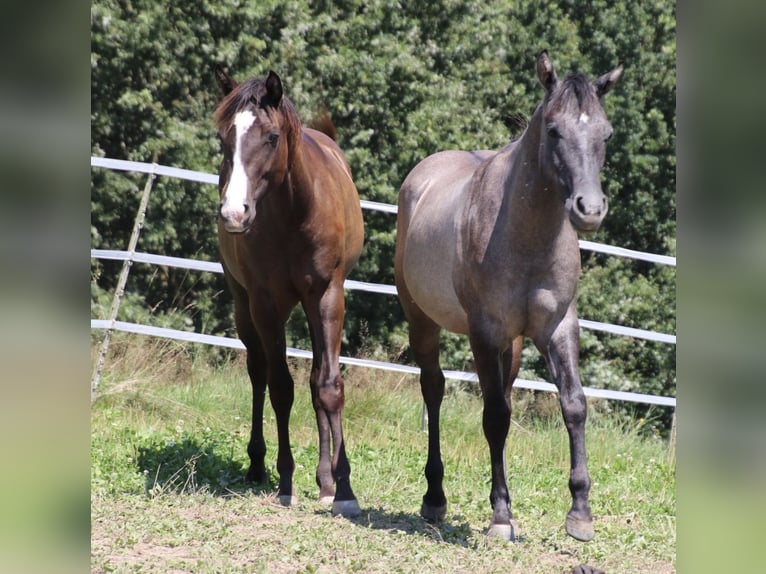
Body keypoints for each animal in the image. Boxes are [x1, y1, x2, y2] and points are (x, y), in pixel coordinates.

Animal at [212, 65, 364, 520]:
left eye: (272, 137)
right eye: (223, 139)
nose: (234, 214)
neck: (296, 214)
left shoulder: (328, 296)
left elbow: (328, 386)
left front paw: (342, 487)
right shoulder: (265, 303)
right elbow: (280, 386)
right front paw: (285, 481)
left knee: (315, 381)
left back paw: (325, 481)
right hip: (244, 306)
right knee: (259, 372)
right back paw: (258, 466)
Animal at [396, 51, 624, 544]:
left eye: (606, 133)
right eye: (553, 130)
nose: (589, 209)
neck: (526, 234)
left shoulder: (557, 327)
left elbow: (574, 405)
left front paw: (580, 514)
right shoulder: (484, 332)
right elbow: (495, 417)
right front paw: (501, 516)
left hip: (513, 346)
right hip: (422, 320)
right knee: (434, 389)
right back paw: (435, 497)